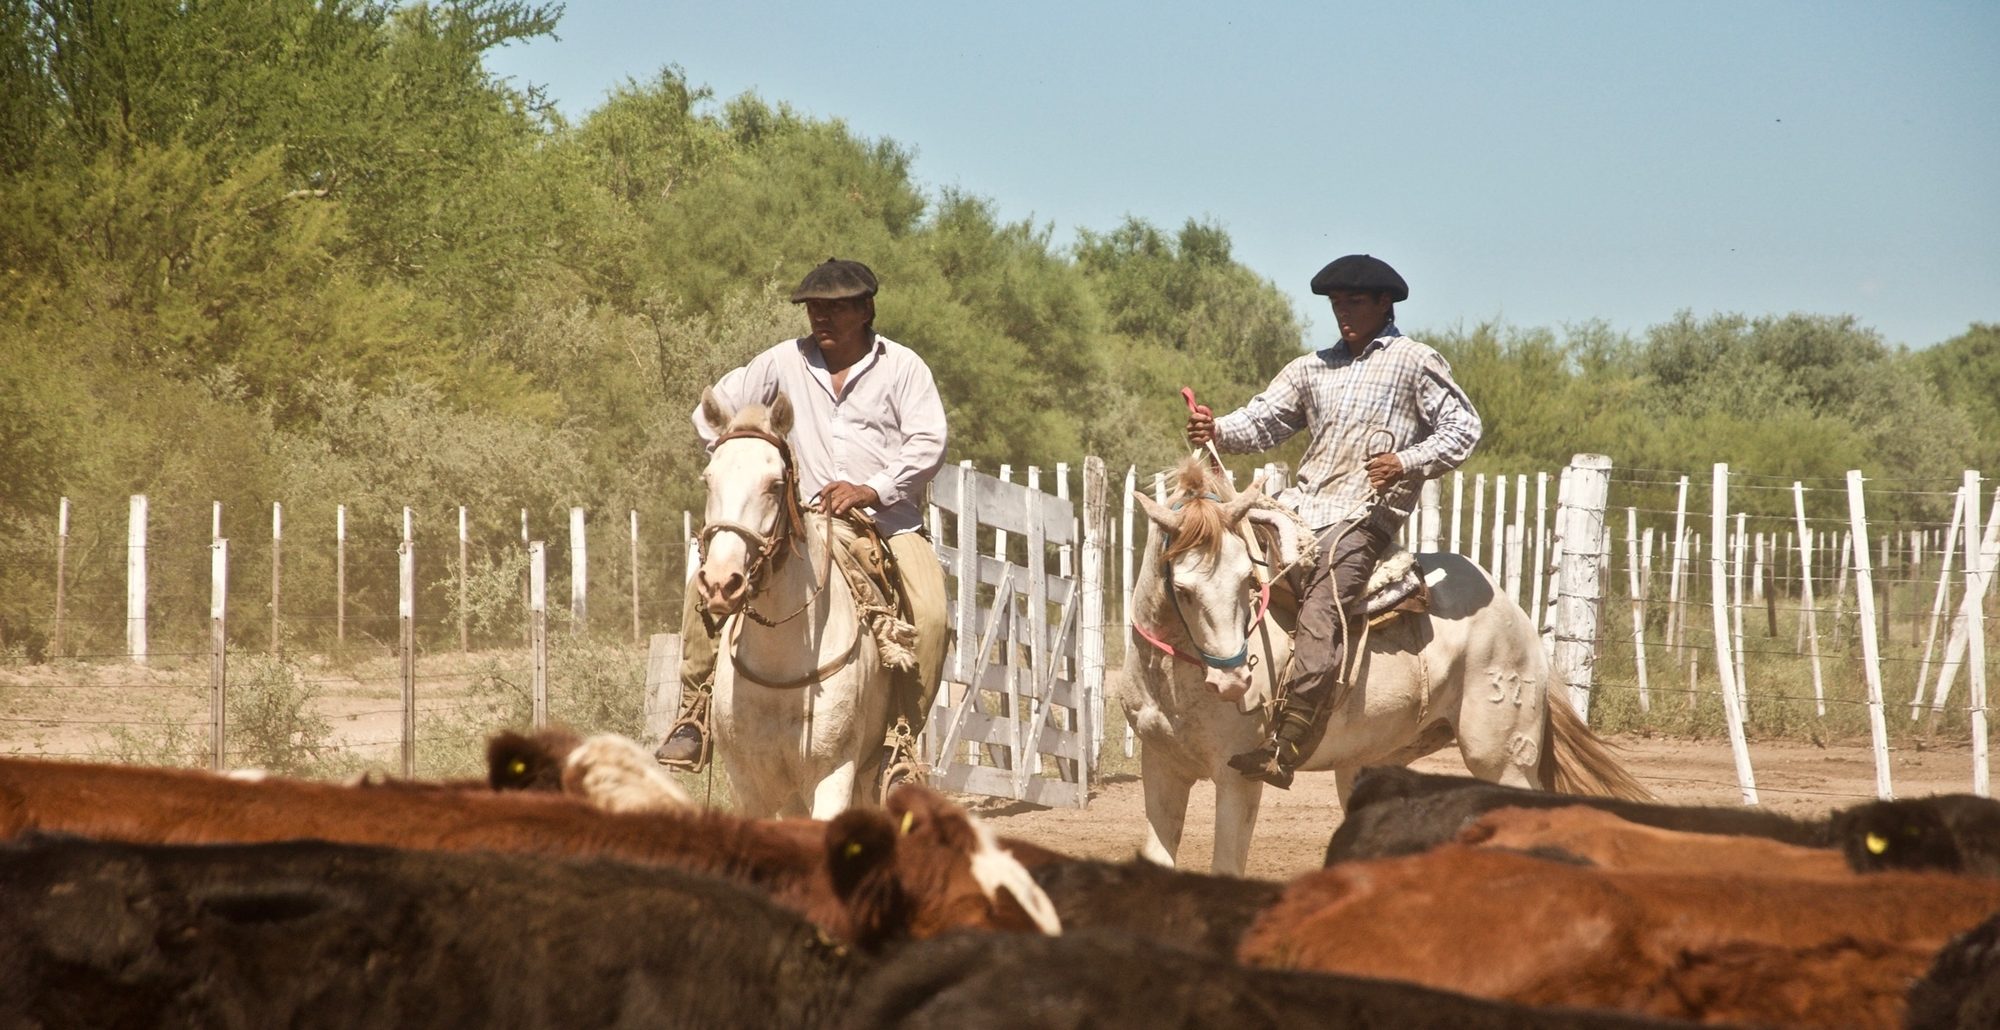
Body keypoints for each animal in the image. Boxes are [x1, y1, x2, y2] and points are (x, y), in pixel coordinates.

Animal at [1119, 457, 1647, 876]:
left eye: (1249, 579)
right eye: (1183, 589)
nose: (1234, 680)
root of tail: (1517, 620)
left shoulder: (1237, 778)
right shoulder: (1161, 767)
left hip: (1502, 758)